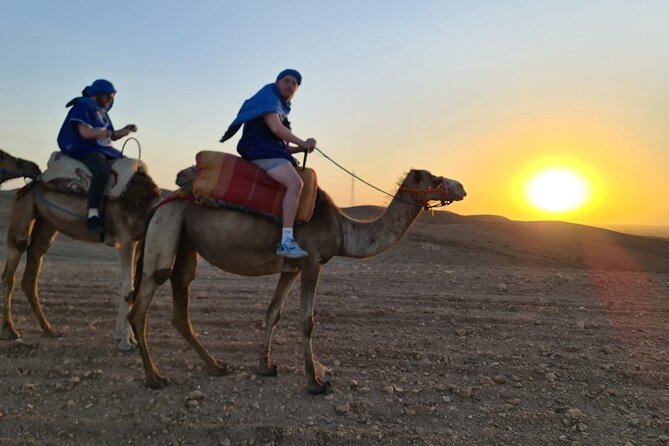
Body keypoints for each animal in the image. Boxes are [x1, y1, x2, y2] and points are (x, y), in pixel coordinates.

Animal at [1, 166, 160, 351]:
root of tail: (27, 187)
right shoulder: (126, 239)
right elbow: (129, 289)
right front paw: (125, 343)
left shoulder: (139, 240)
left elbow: (132, 286)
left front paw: (126, 338)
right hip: (24, 212)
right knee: (11, 270)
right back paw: (10, 331)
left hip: (46, 224)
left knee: (31, 272)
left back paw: (50, 330)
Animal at [128, 168, 466, 393]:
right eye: (435, 178)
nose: (461, 186)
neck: (344, 231)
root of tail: (160, 204)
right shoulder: (312, 262)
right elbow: (307, 322)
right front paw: (315, 381)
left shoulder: (290, 268)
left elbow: (273, 312)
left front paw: (265, 366)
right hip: (165, 231)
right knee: (141, 306)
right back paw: (154, 377)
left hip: (186, 243)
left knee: (180, 305)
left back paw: (216, 366)